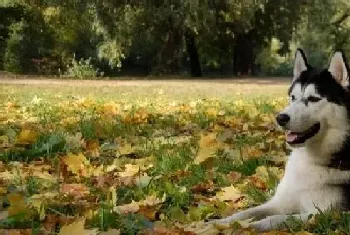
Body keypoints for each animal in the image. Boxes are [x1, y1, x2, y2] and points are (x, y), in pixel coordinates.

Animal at [211, 48, 350, 230]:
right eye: (293, 97)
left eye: (313, 99)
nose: (280, 118)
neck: (309, 159)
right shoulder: (280, 202)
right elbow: (246, 213)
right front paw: (217, 224)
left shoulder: (326, 213)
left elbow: (276, 219)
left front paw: (248, 228)